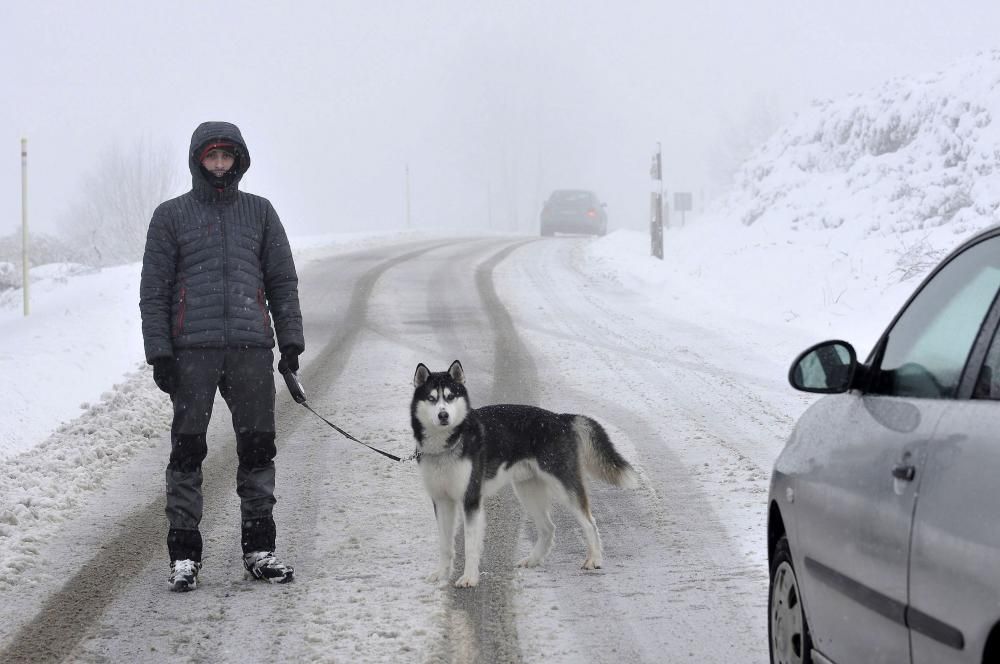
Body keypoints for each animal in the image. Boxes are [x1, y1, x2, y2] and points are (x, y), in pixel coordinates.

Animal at [410, 360, 636, 588]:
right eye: (431, 398)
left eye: (450, 397)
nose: (443, 415)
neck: (446, 446)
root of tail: (561, 419)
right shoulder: (441, 500)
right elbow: (445, 545)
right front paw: (441, 574)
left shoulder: (471, 499)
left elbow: (470, 546)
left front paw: (469, 578)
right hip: (528, 491)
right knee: (548, 528)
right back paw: (533, 560)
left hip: (564, 487)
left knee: (590, 523)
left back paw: (594, 559)